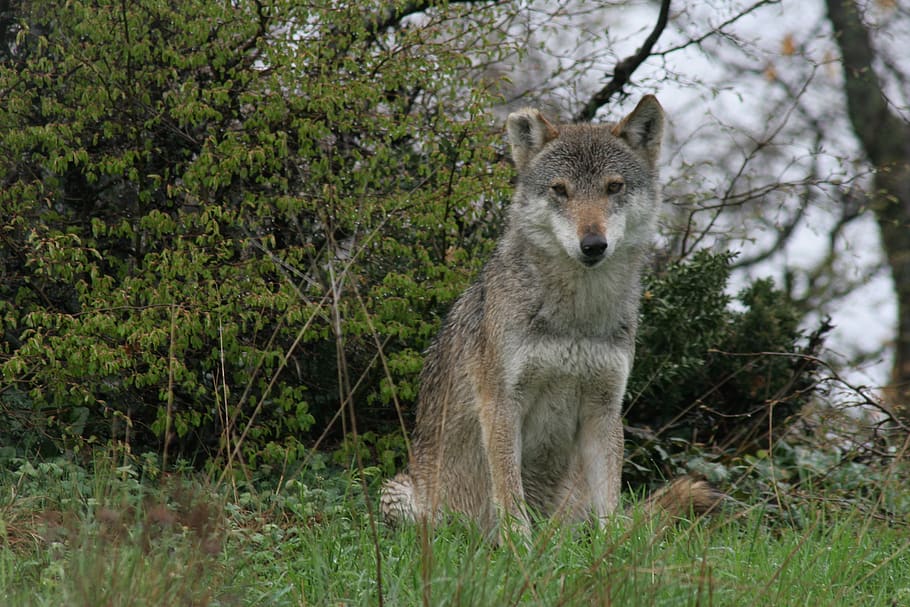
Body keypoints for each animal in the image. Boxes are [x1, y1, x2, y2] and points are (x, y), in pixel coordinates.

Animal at [381, 96, 721, 542]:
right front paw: (518, 549)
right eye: (560, 189)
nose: (593, 244)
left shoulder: (604, 409)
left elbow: (610, 503)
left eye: (614, 187)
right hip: (400, 500)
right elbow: (510, 495)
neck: (575, 318)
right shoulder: (501, 404)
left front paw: (612, 552)